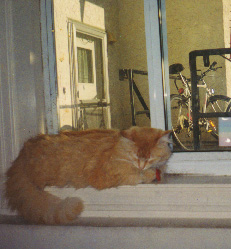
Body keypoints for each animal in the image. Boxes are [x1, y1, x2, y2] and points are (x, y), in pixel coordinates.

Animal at [4, 125, 171, 225]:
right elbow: (135, 174)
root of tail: (21, 154)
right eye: (136, 156)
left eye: (150, 158)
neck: (118, 147)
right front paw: (148, 173)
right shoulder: (106, 175)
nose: (142, 165)